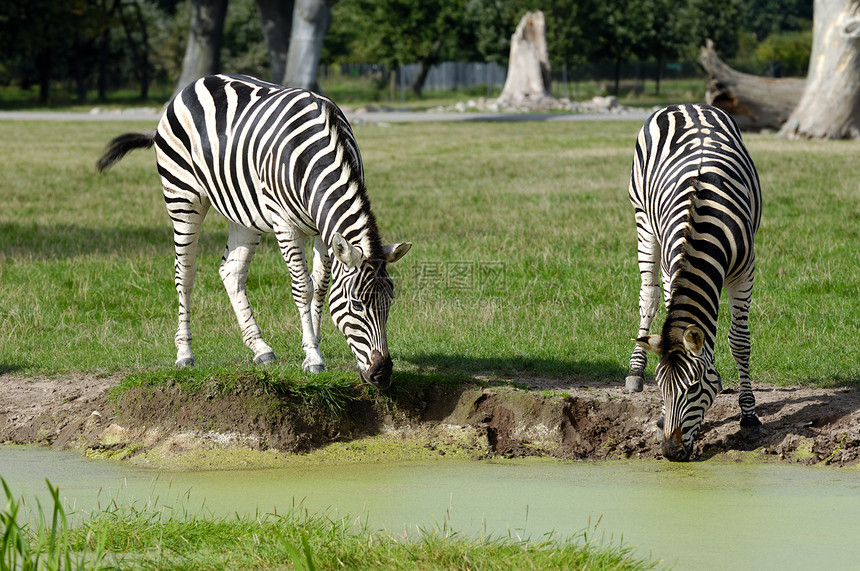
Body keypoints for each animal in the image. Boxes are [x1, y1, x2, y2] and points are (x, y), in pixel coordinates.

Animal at [95, 73, 412, 392]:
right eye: (357, 304)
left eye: (390, 301)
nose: (382, 374)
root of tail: (195, 84)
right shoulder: (285, 225)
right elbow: (303, 288)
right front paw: (312, 356)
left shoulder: (324, 229)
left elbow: (321, 287)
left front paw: (314, 341)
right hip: (182, 197)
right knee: (184, 273)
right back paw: (184, 353)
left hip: (244, 212)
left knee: (231, 272)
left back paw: (261, 349)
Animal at [620, 104, 764, 460]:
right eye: (660, 386)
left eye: (695, 387)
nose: (671, 452)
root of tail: (683, 105)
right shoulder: (670, 269)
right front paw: (660, 415)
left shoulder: (745, 271)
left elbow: (740, 342)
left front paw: (749, 416)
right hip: (643, 220)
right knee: (648, 296)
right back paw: (634, 370)